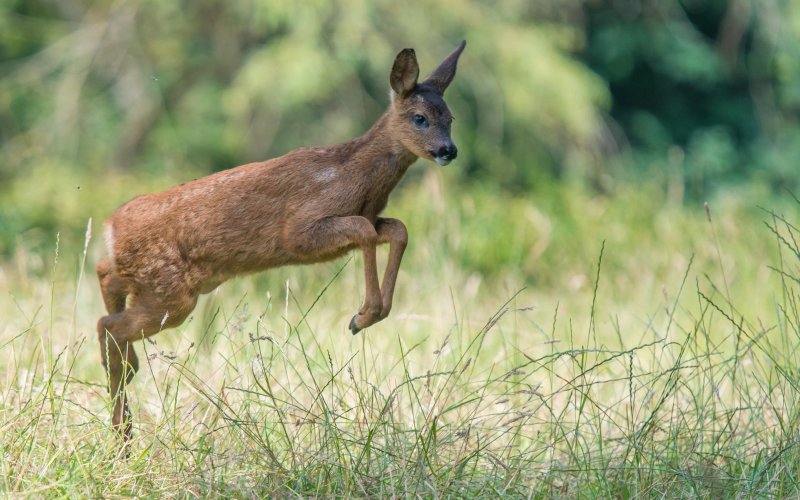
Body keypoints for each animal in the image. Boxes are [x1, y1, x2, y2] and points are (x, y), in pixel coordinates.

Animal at [96, 41, 466, 438]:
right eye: (419, 118)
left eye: (450, 118)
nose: (448, 150)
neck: (353, 174)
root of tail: (111, 224)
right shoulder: (300, 229)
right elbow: (366, 231)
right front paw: (364, 316)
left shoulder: (366, 217)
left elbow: (398, 229)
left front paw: (371, 314)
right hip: (169, 294)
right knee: (108, 325)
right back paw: (123, 426)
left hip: (156, 285)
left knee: (106, 281)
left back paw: (124, 402)